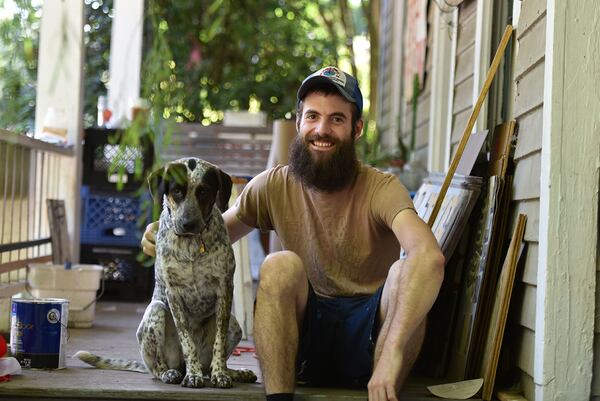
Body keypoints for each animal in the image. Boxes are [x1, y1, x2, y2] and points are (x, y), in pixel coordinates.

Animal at [75, 157, 255, 388]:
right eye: (177, 190)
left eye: (204, 191)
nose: (188, 224)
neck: (191, 244)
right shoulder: (173, 293)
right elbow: (187, 340)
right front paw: (193, 375)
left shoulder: (224, 288)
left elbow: (219, 342)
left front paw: (221, 374)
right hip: (157, 312)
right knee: (158, 368)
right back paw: (172, 373)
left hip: (234, 325)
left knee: (210, 363)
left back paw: (232, 372)